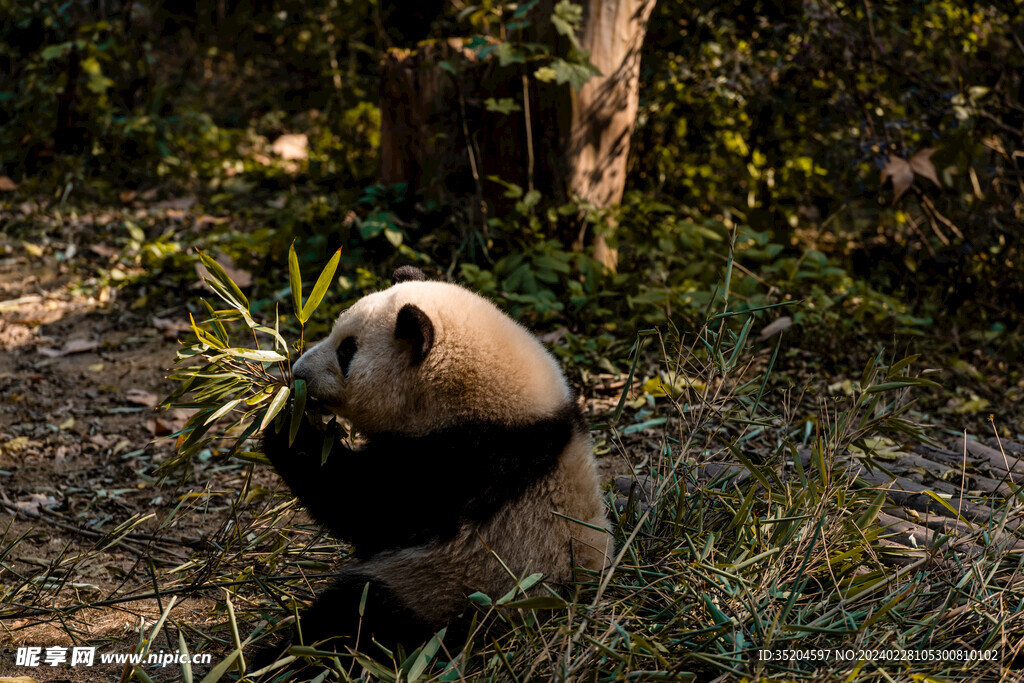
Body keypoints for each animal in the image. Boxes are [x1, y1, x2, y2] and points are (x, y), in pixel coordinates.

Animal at [260, 266, 610, 663]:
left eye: (347, 350)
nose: (298, 372)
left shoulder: (465, 461)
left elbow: (368, 506)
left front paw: (286, 424)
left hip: (449, 588)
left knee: (357, 617)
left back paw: (280, 654)